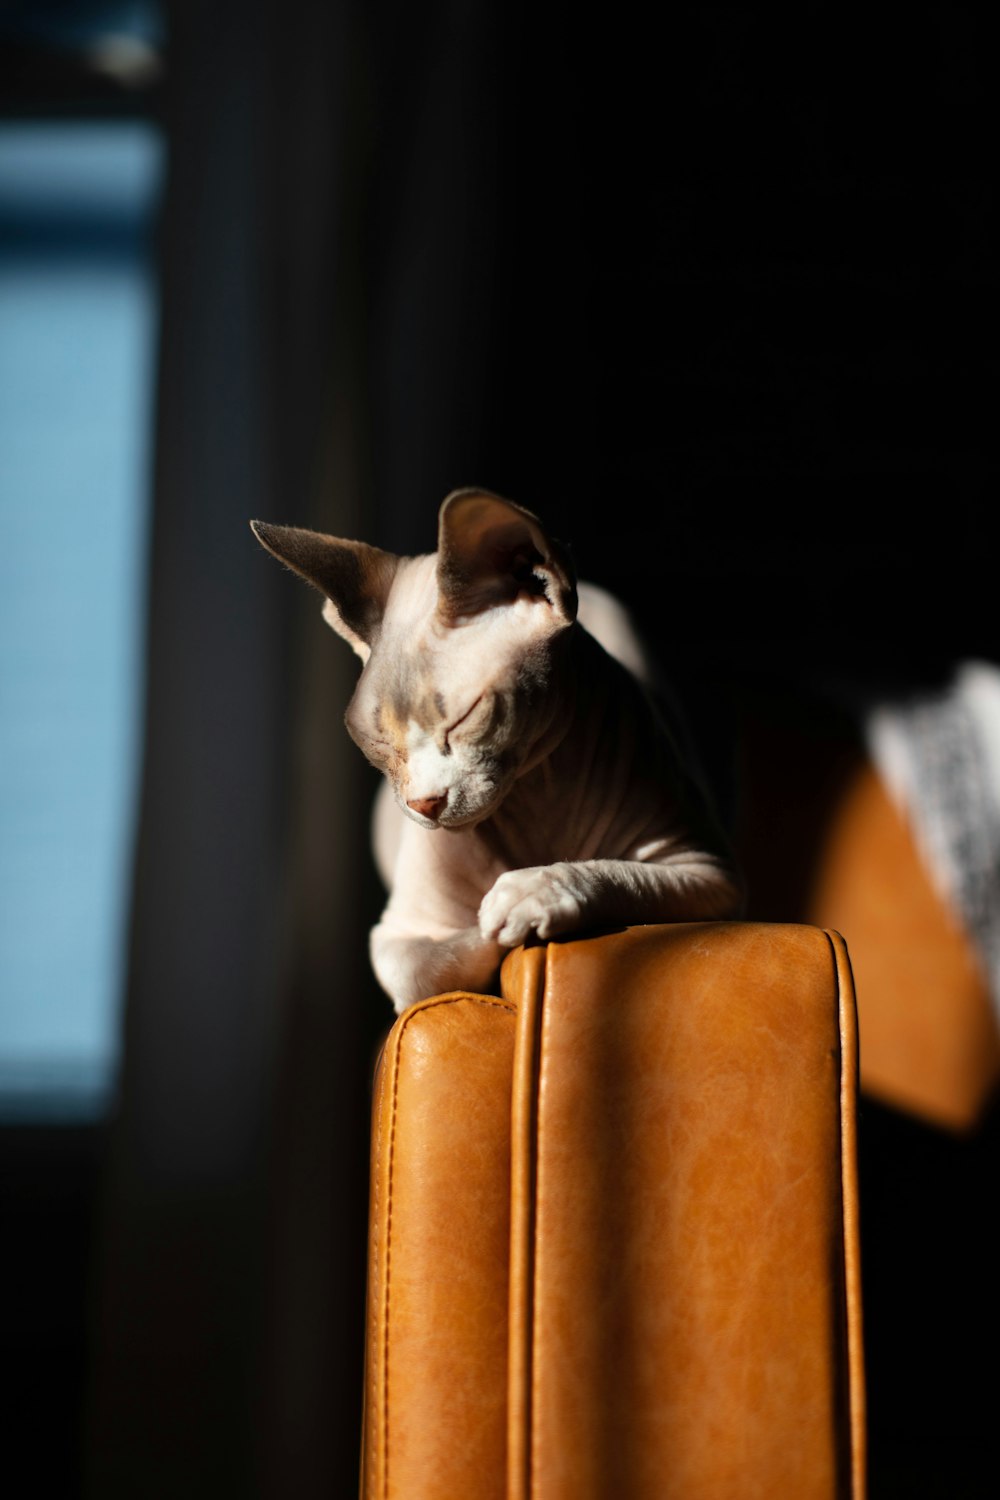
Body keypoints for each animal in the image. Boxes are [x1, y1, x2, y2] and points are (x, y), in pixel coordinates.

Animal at [254, 486, 746, 1014]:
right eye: (379, 743)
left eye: (465, 717)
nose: (423, 804)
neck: (536, 793)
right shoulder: (397, 932)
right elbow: (432, 963)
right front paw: (489, 919)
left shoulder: (709, 873)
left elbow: (625, 876)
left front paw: (529, 892)